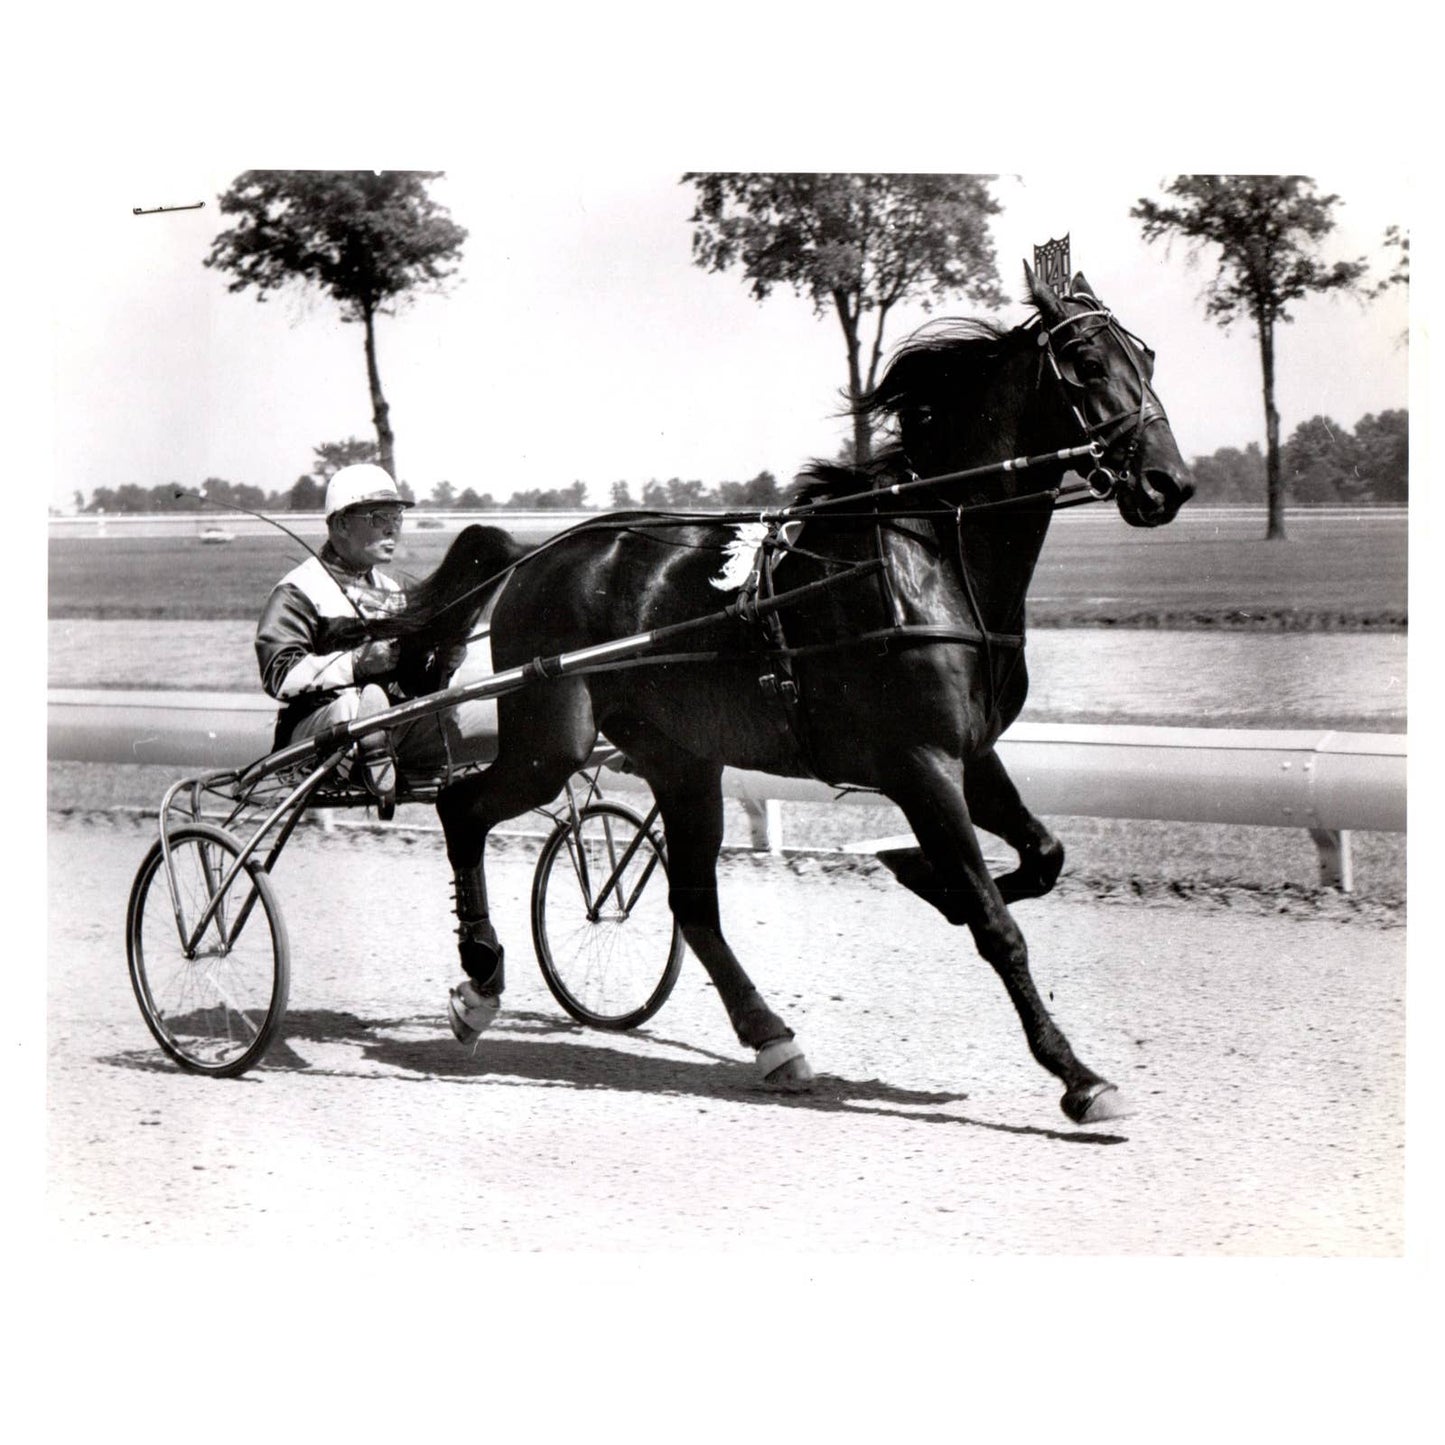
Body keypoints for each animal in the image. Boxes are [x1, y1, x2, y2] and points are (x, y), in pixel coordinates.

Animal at [346, 268, 1184, 1127]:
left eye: (1146, 357)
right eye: (1086, 362)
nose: (1168, 483)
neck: (931, 556)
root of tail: (539, 551)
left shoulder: (970, 753)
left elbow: (1041, 859)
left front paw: (921, 876)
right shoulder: (919, 763)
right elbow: (994, 922)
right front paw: (1078, 1075)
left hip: (680, 760)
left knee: (692, 903)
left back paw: (772, 1038)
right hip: (553, 738)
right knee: (464, 810)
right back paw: (478, 979)